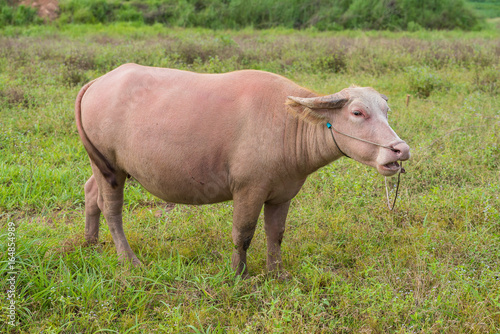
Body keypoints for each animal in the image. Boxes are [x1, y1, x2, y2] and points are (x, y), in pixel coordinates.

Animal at [75, 63, 410, 276]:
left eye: (386, 111)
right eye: (358, 112)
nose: (401, 149)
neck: (287, 124)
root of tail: (98, 82)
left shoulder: (282, 194)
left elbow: (276, 234)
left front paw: (277, 273)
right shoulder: (249, 189)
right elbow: (243, 233)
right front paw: (239, 273)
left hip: (104, 165)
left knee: (90, 192)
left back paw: (90, 243)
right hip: (110, 167)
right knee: (111, 208)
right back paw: (128, 260)